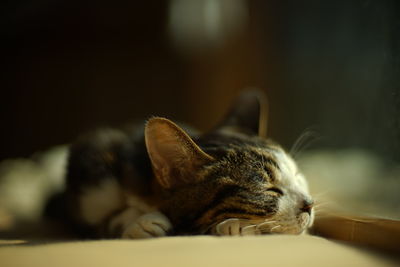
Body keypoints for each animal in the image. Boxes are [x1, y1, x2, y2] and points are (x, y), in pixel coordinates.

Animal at [63, 90, 312, 239]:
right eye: (268, 190)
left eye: (298, 175)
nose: (309, 204)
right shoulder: (91, 173)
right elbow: (99, 223)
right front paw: (138, 222)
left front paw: (237, 226)